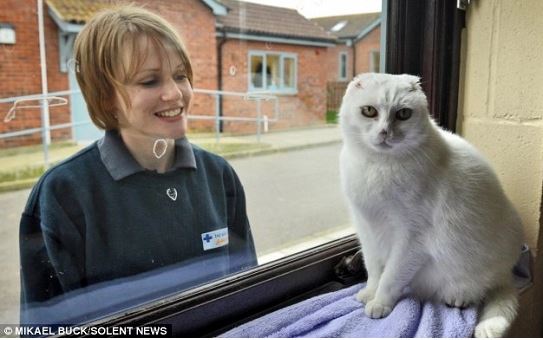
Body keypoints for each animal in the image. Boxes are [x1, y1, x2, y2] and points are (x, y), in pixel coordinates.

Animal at [340, 72, 528, 338]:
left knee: (478, 290)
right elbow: (374, 268)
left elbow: (391, 276)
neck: (377, 166)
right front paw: (369, 293)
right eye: (369, 111)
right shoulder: (366, 228)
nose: (385, 131)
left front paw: (380, 304)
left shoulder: (411, 239)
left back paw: (458, 297)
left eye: (403, 114)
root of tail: (506, 276)